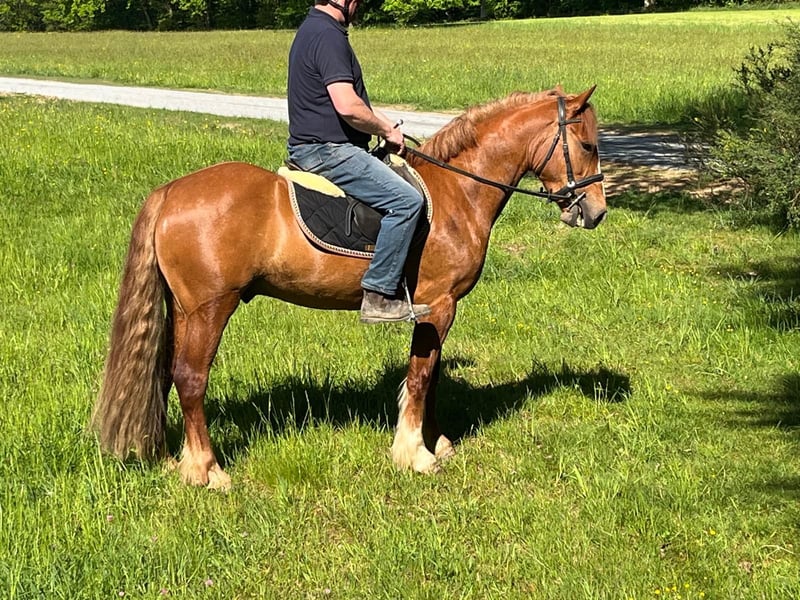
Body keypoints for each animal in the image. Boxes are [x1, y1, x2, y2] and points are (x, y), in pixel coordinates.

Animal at [91, 86, 607, 490]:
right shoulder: (438, 306)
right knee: (190, 378)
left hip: (181, 308)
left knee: (166, 375)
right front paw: (414, 454)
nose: (596, 212)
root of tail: (171, 192)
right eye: (586, 144)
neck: (455, 192)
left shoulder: (438, 310)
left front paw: (437, 443)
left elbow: (432, 376)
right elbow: (421, 377)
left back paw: (176, 459)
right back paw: (206, 470)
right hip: (209, 308)